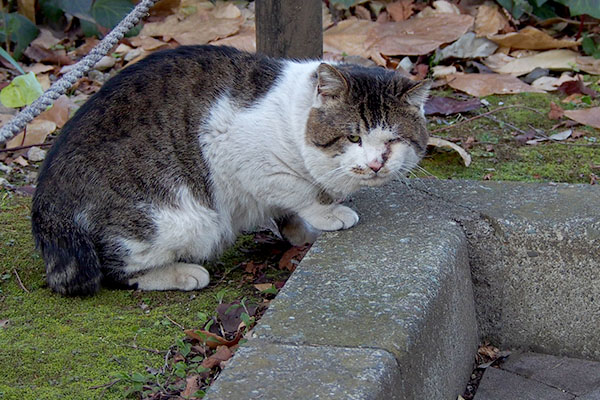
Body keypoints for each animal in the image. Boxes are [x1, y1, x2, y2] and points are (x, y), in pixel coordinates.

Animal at [31, 44, 432, 296]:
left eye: (393, 140)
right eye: (353, 137)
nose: (377, 163)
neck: (293, 119)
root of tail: (47, 201)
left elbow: (288, 210)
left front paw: (303, 231)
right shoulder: (242, 154)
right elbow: (300, 192)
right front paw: (328, 214)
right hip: (173, 220)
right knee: (116, 271)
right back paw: (183, 273)